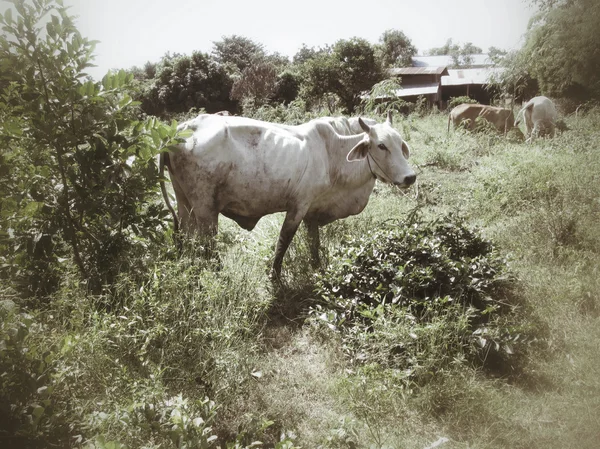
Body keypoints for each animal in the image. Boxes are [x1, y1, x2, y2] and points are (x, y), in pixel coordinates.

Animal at [162, 111, 414, 276]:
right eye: (381, 146)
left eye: (401, 143)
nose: (410, 177)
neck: (332, 153)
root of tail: (180, 130)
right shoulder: (298, 206)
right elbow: (283, 242)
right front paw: (275, 277)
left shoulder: (313, 210)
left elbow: (314, 243)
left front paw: (317, 267)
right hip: (205, 208)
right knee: (208, 244)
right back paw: (217, 274)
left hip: (184, 203)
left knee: (186, 237)